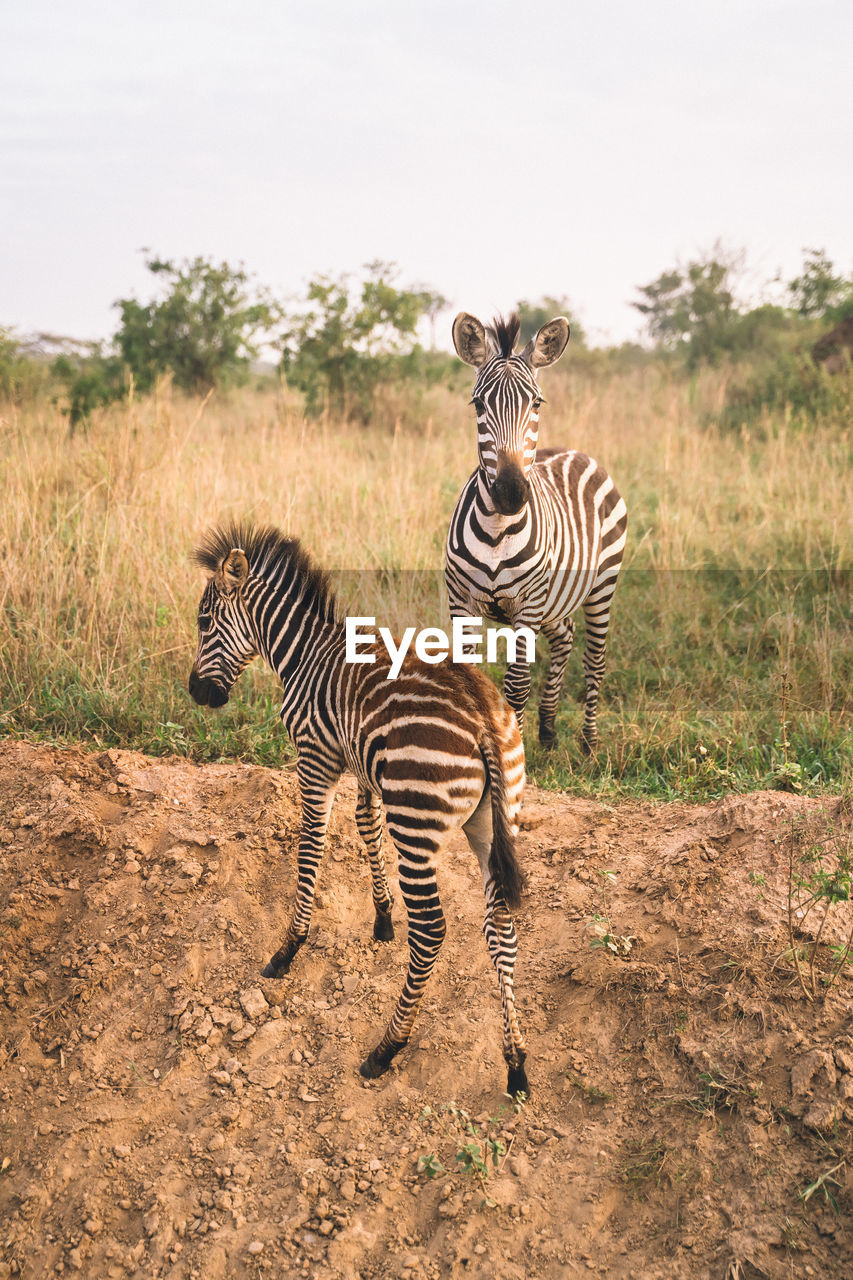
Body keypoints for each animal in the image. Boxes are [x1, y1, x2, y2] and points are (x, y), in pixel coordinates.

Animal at [189, 524, 527, 1095]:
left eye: (204, 622)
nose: (196, 694)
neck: (303, 655)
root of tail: (482, 714)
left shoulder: (315, 758)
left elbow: (311, 845)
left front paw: (289, 947)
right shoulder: (363, 765)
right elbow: (365, 824)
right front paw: (382, 917)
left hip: (416, 823)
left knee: (432, 931)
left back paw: (386, 1049)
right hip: (491, 820)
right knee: (500, 925)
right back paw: (517, 1063)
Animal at [445, 311, 625, 747]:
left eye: (537, 402)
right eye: (478, 403)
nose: (511, 492)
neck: (497, 528)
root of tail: (575, 451)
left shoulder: (527, 606)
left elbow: (516, 685)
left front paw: (515, 749)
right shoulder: (460, 602)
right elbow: (467, 679)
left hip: (601, 585)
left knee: (595, 660)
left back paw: (588, 741)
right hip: (556, 597)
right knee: (565, 637)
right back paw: (547, 728)